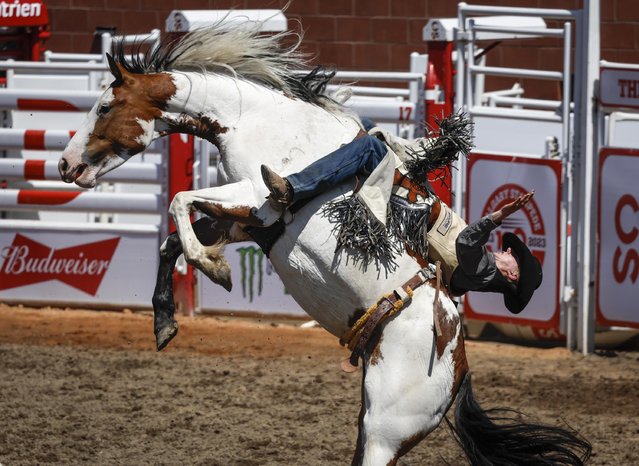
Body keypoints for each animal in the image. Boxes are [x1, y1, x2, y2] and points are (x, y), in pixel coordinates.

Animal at [57, 24, 592, 462]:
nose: (65, 165)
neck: (255, 119)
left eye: (106, 106)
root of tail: (458, 365)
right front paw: (167, 319)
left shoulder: (257, 198)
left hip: (385, 431)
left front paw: (214, 268)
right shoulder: (250, 220)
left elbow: (179, 201)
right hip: (371, 423)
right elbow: (172, 236)